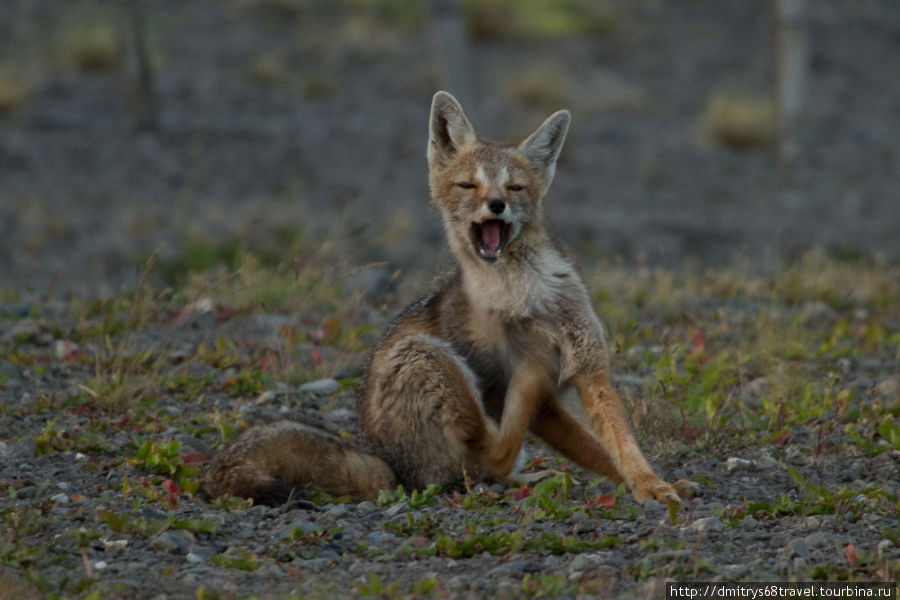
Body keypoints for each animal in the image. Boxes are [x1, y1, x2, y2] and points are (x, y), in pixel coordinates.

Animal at [204, 91, 696, 508]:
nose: (496, 204)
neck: (527, 295)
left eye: (514, 188)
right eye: (467, 186)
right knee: (490, 456)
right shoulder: (516, 388)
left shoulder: (589, 366)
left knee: (492, 469)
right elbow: (570, 434)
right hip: (425, 355)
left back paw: (527, 475)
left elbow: (617, 446)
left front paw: (650, 484)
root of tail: (391, 466)